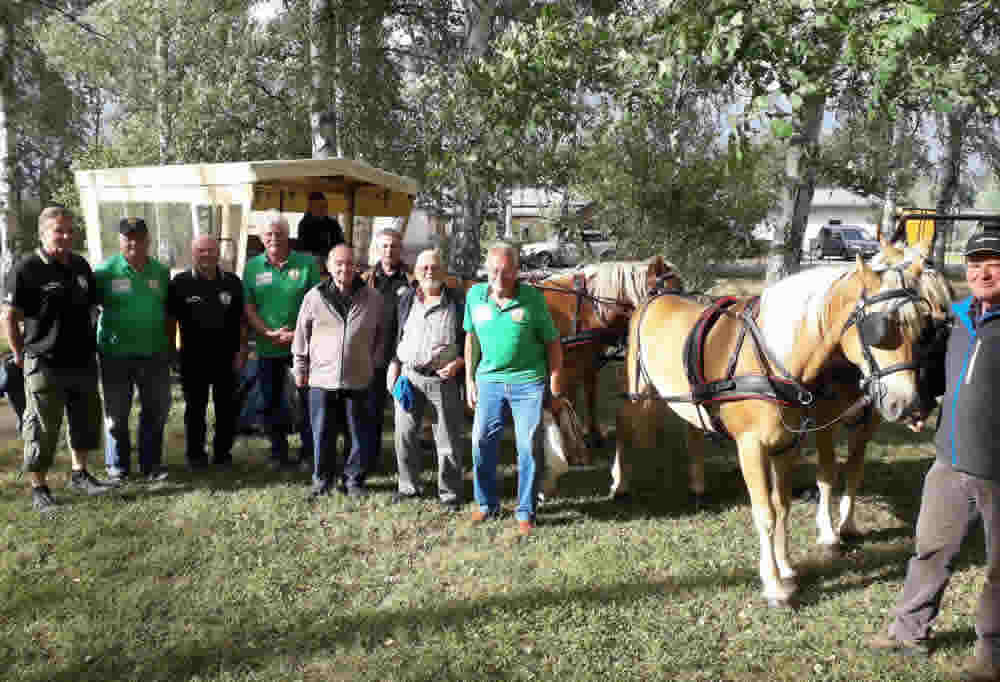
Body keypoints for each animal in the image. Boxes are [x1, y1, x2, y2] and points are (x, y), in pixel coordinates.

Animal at [532, 255, 680, 456]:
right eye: (671, 291)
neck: (588, 306)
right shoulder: (571, 366)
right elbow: (569, 400)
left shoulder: (587, 361)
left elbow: (588, 396)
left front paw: (592, 436)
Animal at [612, 256, 932, 604]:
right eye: (880, 329)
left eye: (921, 326)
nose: (909, 404)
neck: (774, 359)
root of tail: (656, 295)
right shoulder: (750, 447)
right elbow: (765, 513)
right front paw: (774, 584)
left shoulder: (786, 445)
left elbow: (783, 507)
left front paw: (787, 567)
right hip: (639, 391)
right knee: (623, 424)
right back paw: (619, 482)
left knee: (691, 429)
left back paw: (696, 483)